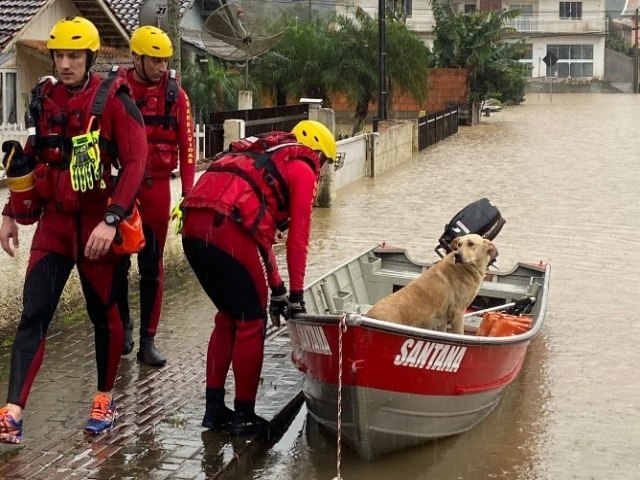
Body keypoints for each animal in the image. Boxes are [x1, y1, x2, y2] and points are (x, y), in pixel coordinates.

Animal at [368, 233, 498, 334]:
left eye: (471, 244)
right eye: (459, 244)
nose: (457, 254)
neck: (466, 269)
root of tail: (370, 315)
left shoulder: (442, 321)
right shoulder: (458, 313)